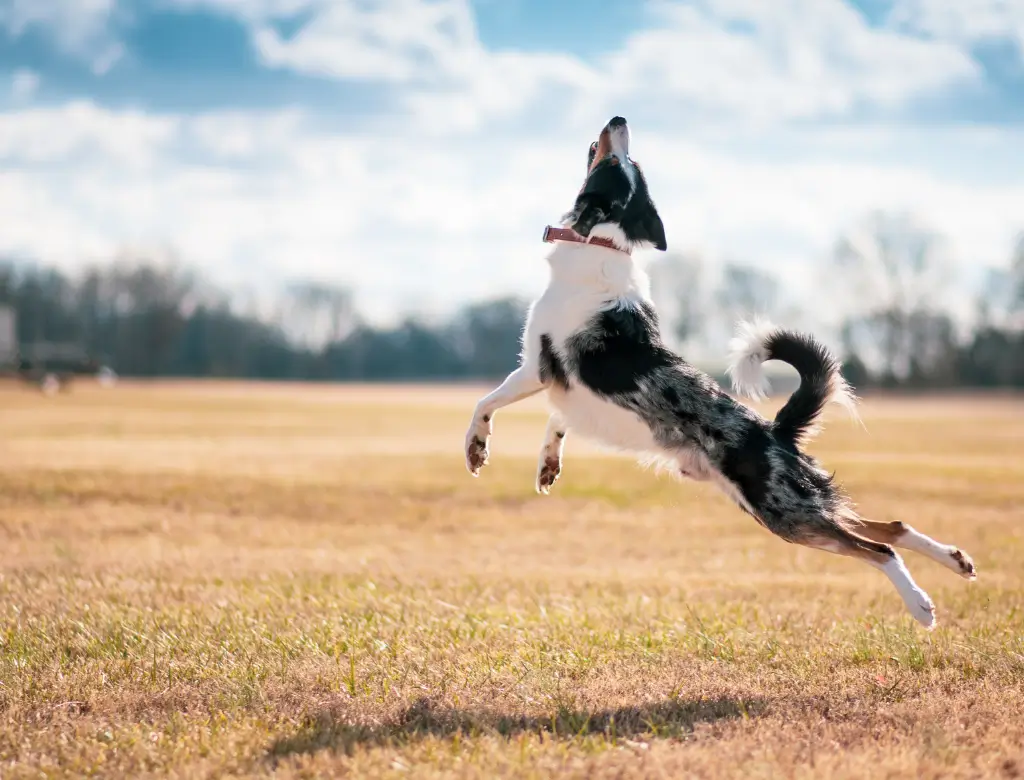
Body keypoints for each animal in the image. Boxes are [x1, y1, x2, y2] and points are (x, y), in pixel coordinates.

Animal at [464, 114, 974, 626]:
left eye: (619, 162)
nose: (619, 120)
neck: (602, 238)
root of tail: (776, 431)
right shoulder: (569, 391)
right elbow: (558, 420)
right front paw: (548, 464)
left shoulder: (537, 367)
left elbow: (486, 403)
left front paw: (476, 449)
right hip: (787, 504)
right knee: (889, 525)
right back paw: (956, 560)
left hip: (784, 513)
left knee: (877, 548)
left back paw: (921, 605)